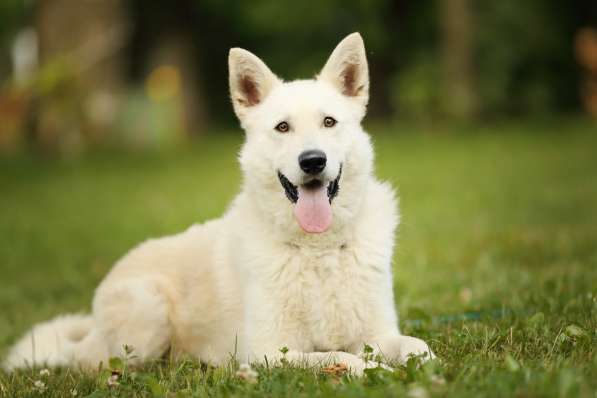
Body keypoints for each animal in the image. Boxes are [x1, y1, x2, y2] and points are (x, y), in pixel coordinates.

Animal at [4, 33, 434, 374]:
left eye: (329, 122)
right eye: (282, 127)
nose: (312, 161)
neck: (317, 249)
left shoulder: (378, 332)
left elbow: (417, 347)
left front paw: (418, 367)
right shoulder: (269, 352)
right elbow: (341, 358)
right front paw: (372, 370)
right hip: (148, 313)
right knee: (90, 363)